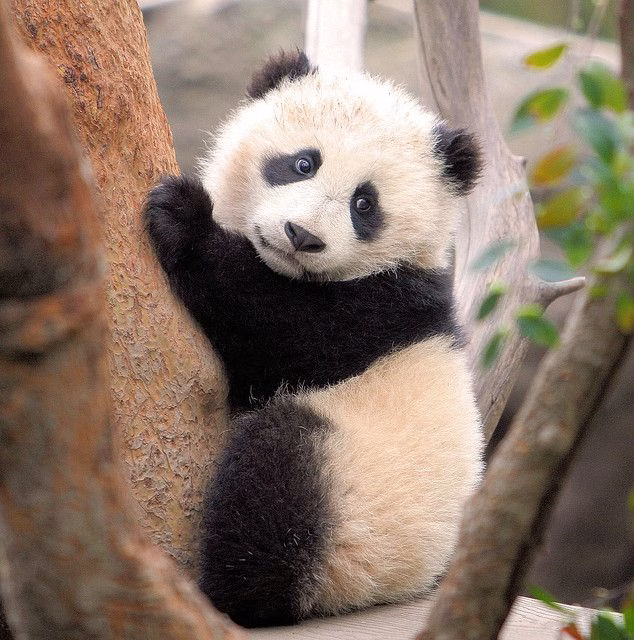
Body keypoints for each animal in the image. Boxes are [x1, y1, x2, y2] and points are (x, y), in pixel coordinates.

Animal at [144, 50, 483, 628]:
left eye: (365, 204)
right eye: (304, 163)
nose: (302, 236)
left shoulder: (388, 305)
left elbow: (283, 324)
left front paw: (183, 218)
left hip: (353, 499)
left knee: (277, 474)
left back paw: (234, 594)